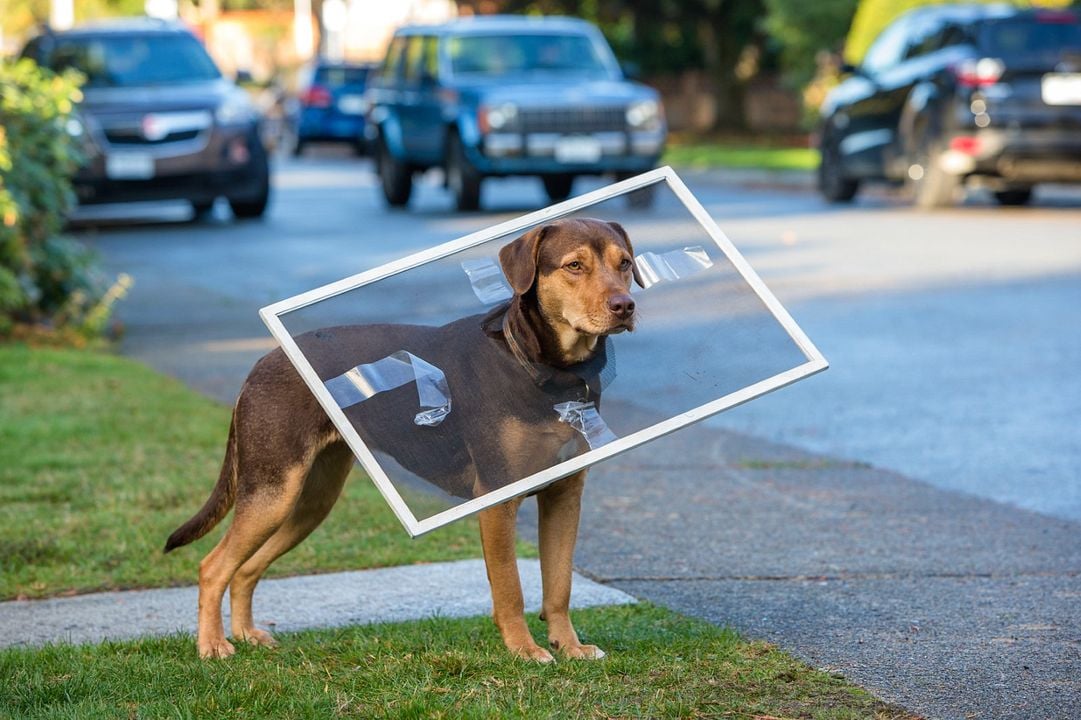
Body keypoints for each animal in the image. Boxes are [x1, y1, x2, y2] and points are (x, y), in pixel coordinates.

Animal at [163, 214, 639, 661]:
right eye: (574, 265)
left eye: (625, 264)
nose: (626, 306)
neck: (547, 369)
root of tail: (261, 364)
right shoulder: (498, 498)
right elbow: (511, 589)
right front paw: (525, 650)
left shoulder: (564, 495)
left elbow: (559, 586)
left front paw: (571, 647)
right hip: (273, 492)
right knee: (212, 567)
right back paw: (213, 645)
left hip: (309, 501)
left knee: (245, 569)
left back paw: (246, 635)